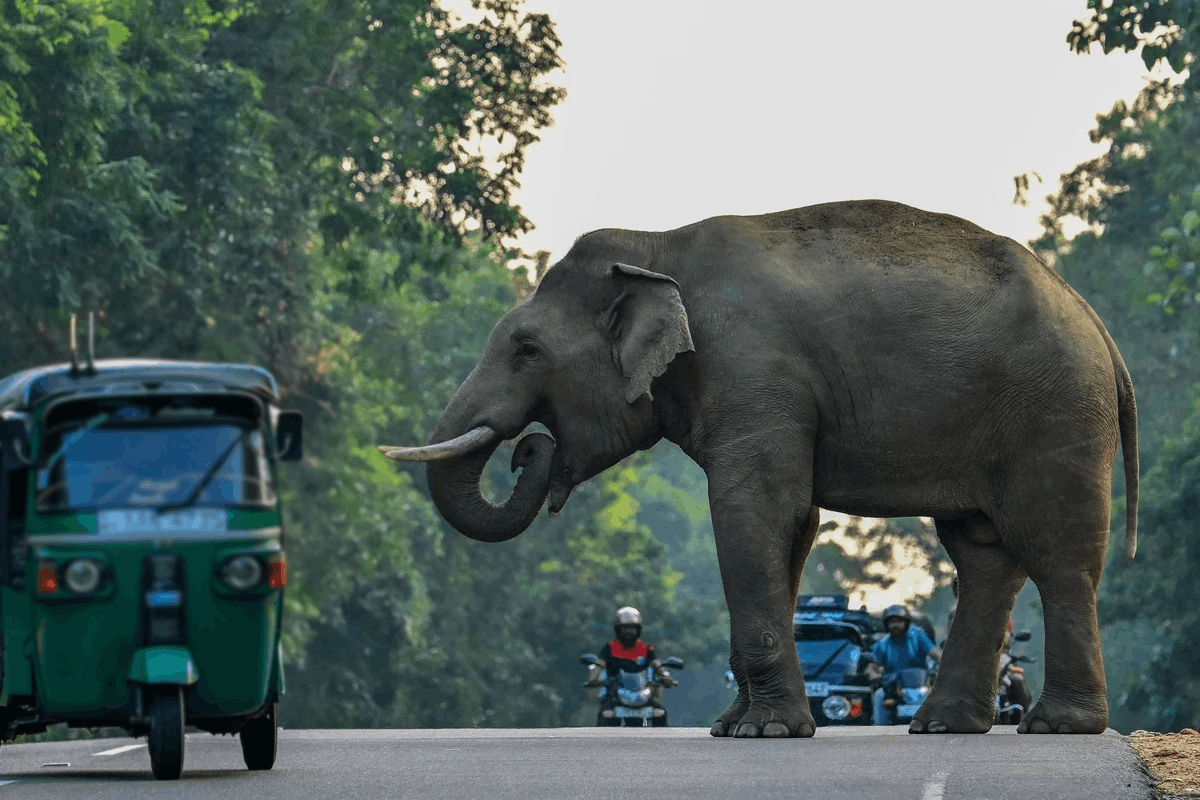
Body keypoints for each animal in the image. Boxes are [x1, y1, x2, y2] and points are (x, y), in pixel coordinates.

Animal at [380, 199, 1138, 738]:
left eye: (528, 349)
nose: (527, 449)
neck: (656, 247)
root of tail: (1095, 322)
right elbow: (790, 528)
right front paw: (731, 727)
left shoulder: (753, 372)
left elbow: (755, 512)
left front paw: (767, 731)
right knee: (982, 553)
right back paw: (943, 726)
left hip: (1056, 410)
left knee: (1056, 550)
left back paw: (1058, 725)